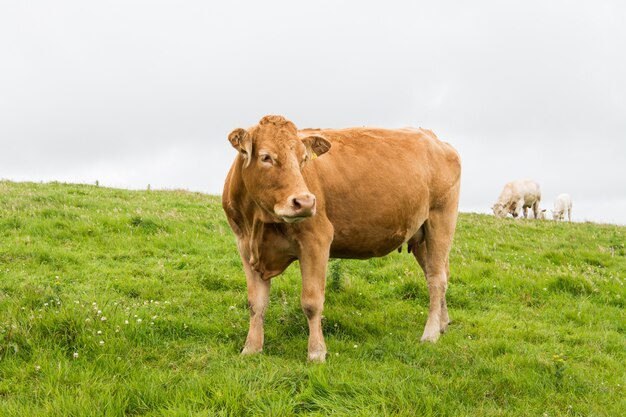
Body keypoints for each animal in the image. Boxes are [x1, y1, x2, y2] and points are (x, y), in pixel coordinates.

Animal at [222, 114, 460, 360]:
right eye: (266, 157)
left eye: (303, 158)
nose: (305, 202)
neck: (259, 223)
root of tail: (434, 138)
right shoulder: (245, 246)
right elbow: (256, 303)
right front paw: (251, 348)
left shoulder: (317, 239)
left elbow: (312, 301)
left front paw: (316, 352)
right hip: (421, 234)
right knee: (438, 272)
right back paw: (443, 324)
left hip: (441, 219)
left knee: (436, 279)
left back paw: (430, 334)